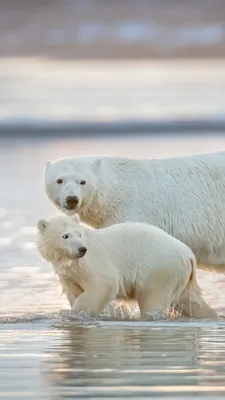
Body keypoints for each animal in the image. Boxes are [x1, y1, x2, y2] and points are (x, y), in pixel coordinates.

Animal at [36, 214, 219, 320]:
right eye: (65, 236)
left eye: (79, 234)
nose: (82, 249)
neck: (70, 261)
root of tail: (189, 255)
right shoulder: (69, 273)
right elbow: (74, 291)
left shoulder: (93, 262)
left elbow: (104, 284)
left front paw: (77, 313)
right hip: (181, 276)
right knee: (191, 302)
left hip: (159, 270)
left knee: (153, 299)